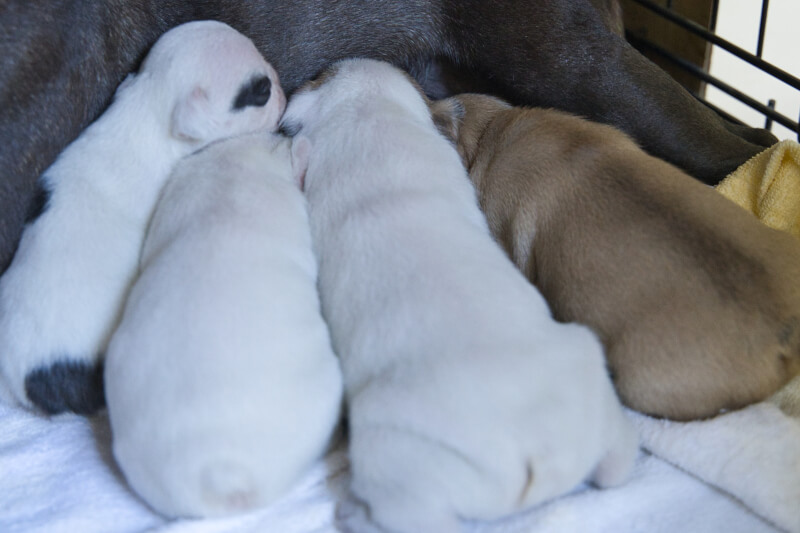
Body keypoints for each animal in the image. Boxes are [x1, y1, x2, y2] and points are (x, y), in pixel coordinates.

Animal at [282, 59, 636, 533]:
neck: (372, 115)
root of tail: (543, 457)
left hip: (401, 467)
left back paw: (355, 514)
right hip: (597, 395)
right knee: (620, 459)